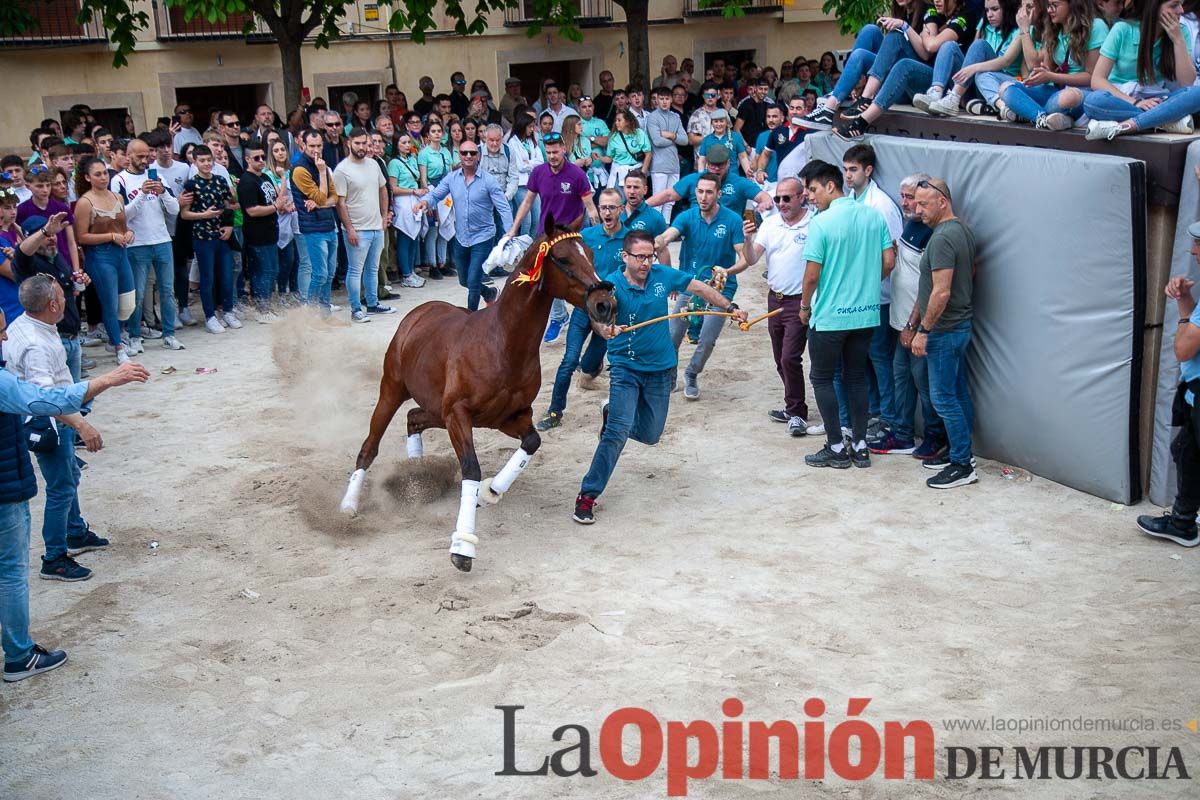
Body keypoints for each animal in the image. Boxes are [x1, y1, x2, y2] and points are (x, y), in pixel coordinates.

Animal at [340, 215, 614, 573]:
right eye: (564, 259)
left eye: (592, 256)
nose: (604, 304)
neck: (503, 343)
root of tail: (418, 313)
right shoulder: (459, 414)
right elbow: (471, 468)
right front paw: (463, 547)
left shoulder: (510, 416)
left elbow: (532, 442)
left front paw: (489, 493)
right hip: (392, 391)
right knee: (369, 447)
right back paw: (349, 504)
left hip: (434, 409)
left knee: (414, 418)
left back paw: (417, 476)